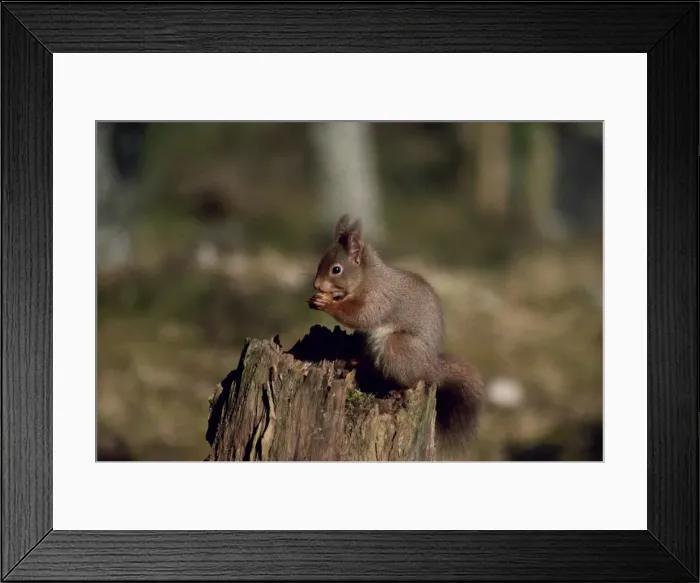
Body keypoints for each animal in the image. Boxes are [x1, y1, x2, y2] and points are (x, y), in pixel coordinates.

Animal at [308, 214, 483, 460]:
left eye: (336, 269)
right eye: (320, 263)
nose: (316, 285)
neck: (367, 278)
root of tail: (430, 367)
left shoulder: (379, 298)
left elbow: (361, 315)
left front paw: (328, 304)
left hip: (397, 347)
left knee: (414, 381)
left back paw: (399, 389)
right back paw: (356, 361)